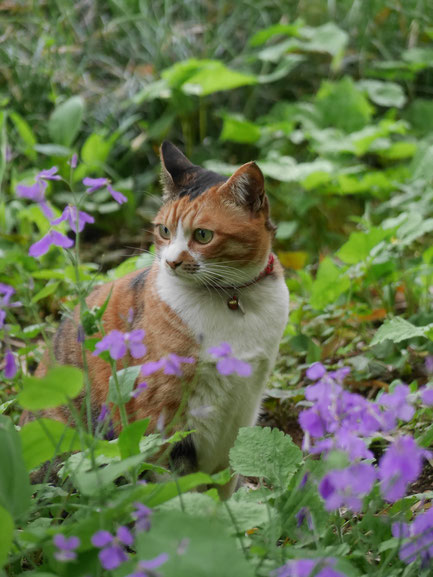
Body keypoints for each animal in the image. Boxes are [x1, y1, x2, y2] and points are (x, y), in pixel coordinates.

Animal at [22, 142, 288, 498]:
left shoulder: (245, 405)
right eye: (164, 230)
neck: (231, 299)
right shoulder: (160, 414)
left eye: (203, 235)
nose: (172, 262)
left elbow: (225, 481)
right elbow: (173, 486)